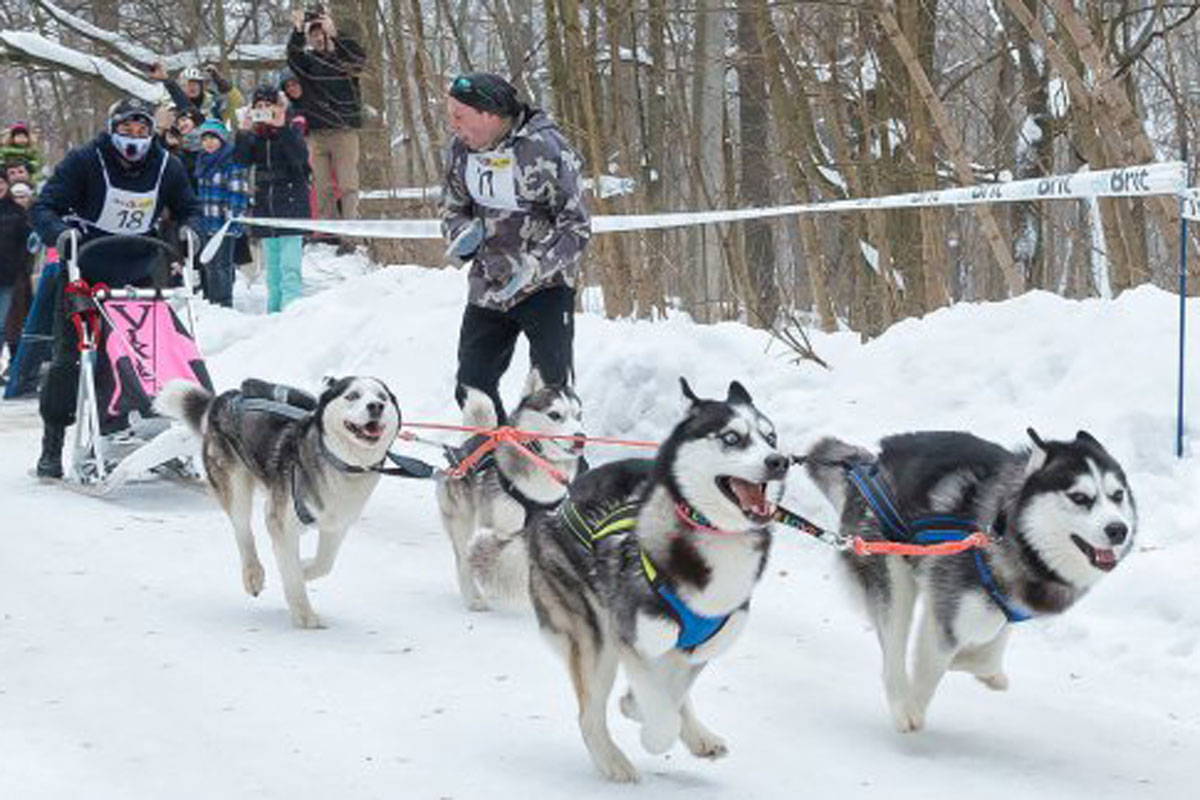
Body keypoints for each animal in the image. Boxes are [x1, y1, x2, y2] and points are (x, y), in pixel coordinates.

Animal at [157, 379, 400, 628]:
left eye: (382, 397)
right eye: (352, 396)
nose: (376, 406)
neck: (342, 465)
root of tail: (222, 400)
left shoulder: (336, 525)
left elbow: (324, 564)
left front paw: (304, 569)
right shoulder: (282, 524)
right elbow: (291, 573)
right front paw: (303, 613)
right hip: (236, 486)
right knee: (243, 531)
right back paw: (253, 574)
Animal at [441, 371, 590, 614]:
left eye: (579, 415)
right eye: (555, 415)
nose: (580, 438)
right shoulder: (506, 528)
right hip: (463, 520)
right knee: (463, 559)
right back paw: (474, 597)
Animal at [525, 381, 787, 782]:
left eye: (770, 437)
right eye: (732, 437)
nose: (780, 461)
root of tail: (564, 499)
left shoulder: (696, 648)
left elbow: (672, 693)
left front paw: (643, 708)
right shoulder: (630, 639)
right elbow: (659, 711)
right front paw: (652, 729)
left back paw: (698, 735)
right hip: (595, 635)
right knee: (588, 714)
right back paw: (612, 760)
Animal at [806, 431, 1132, 734]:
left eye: (1117, 496)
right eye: (1080, 497)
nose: (1119, 529)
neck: (1007, 531)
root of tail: (869, 462)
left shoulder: (1002, 609)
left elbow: (987, 649)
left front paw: (976, 666)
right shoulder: (952, 608)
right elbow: (936, 661)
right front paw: (920, 699)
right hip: (891, 576)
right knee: (893, 650)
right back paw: (902, 707)